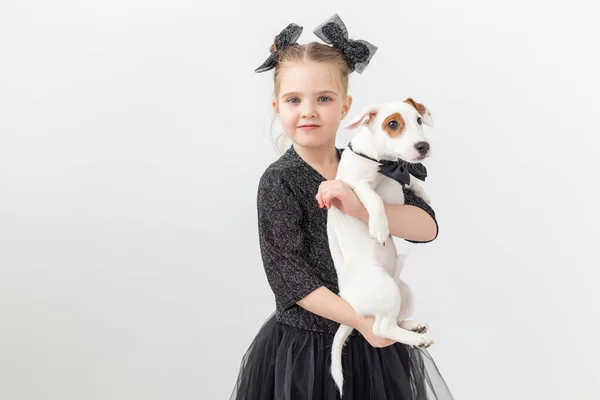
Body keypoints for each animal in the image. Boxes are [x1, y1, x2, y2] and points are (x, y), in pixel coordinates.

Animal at [328, 97, 436, 396]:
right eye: (393, 124)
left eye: (419, 120)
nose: (423, 146)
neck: (383, 162)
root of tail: (353, 306)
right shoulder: (353, 185)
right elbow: (372, 197)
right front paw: (379, 225)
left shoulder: (400, 176)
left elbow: (411, 179)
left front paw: (423, 192)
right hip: (386, 289)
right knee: (381, 327)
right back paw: (414, 338)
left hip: (402, 291)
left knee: (393, 318)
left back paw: (412, 326)